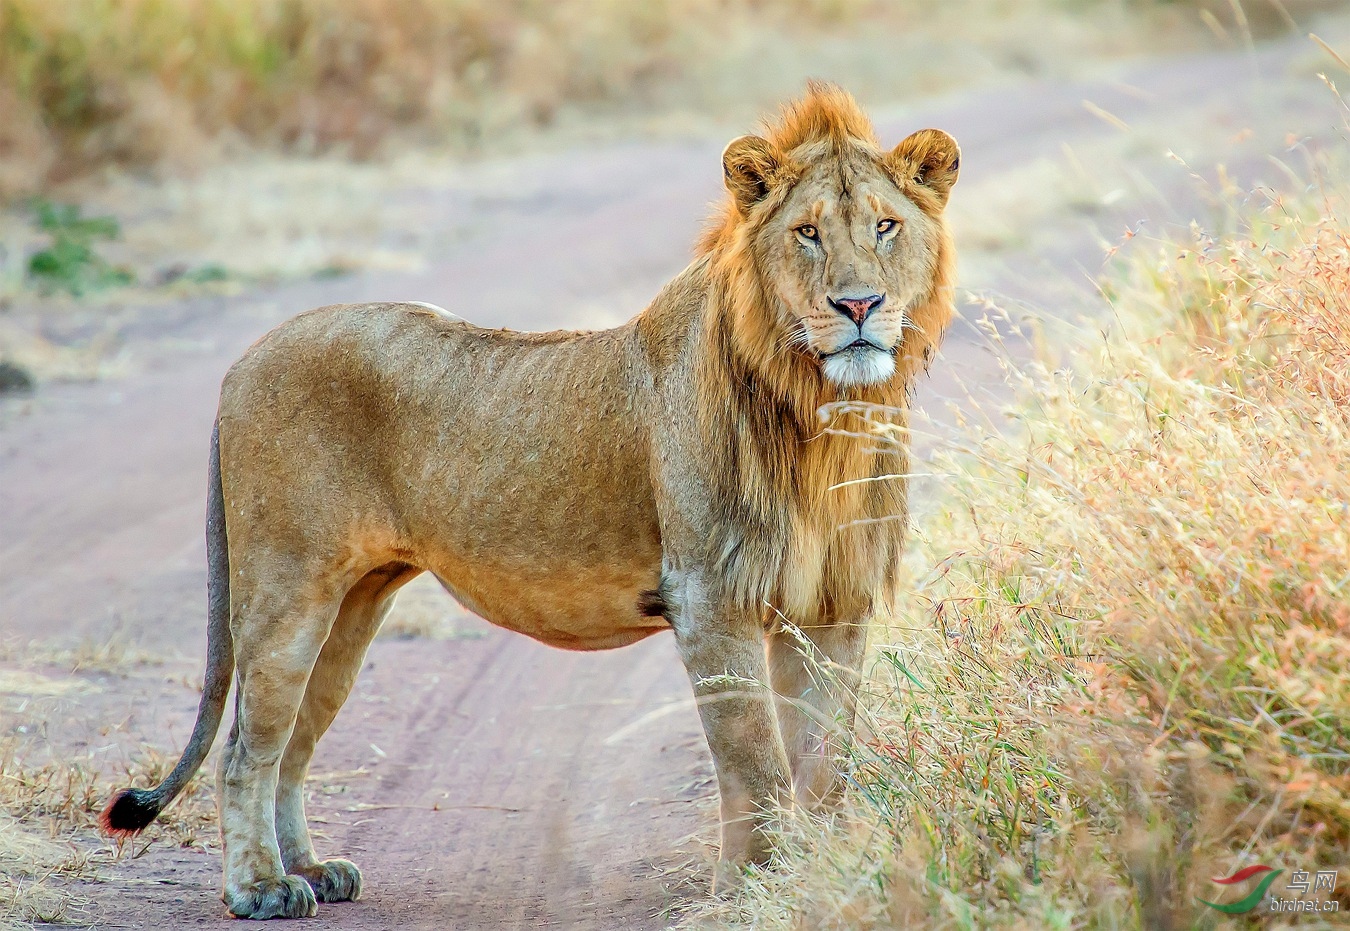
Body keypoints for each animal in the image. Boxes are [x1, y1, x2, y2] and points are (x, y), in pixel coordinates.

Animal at [97, 85, 961, 912]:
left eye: (885, 226)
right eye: (808, 233)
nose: (859, 307)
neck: (825, 409)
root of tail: (243, 361)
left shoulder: (834, 606)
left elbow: (825, 763)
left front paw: (821, 873)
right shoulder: (711, 598)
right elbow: (758, 763)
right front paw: (756, 884)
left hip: (353, 606)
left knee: (295, 745)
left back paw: (311, 868)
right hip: (286, 590)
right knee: (248, 748)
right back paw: (260, 887)